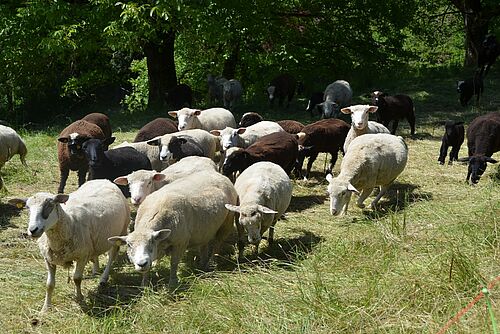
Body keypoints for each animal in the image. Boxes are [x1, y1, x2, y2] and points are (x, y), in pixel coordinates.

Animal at [8, 180, 130, 314]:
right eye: (27, 208)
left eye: (50, 205)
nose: (32, 230)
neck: (69, 222)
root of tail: (104, 180)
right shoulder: (48, 259)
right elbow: (49, 284)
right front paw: (45, 308)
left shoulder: (82, 256)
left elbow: (77, 279)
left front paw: (80, 298)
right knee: (95, 253)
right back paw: (95, 270)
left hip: (120, 233)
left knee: (111, 256)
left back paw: (103, 278)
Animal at [107, 171, 236, 286]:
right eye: (129, 245)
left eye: (151, 241)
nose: (142, 263)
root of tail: (219, 174)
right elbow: (148, 268)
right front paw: (144, 284)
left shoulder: (180, 243)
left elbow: (174, 263)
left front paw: (172, 283)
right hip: (205, 229)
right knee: (204, 244)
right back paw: (202, 264)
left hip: (227, 223)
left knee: (217, 244)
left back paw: (212, 263)